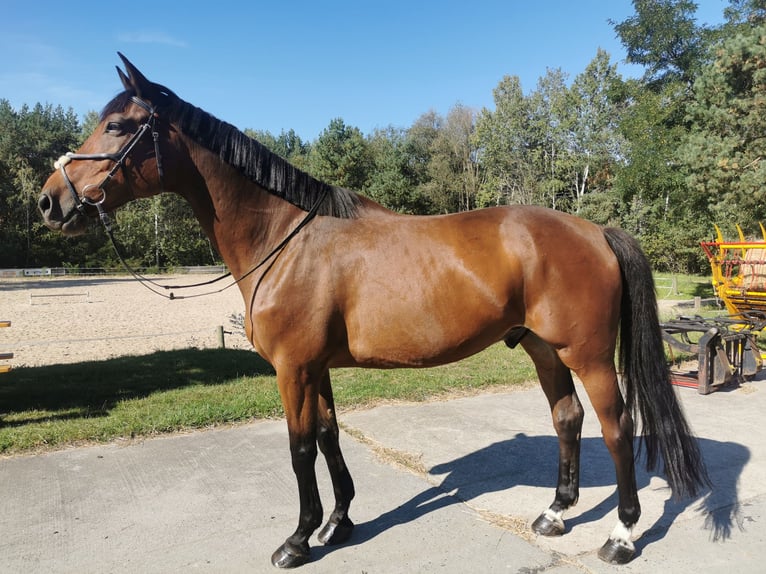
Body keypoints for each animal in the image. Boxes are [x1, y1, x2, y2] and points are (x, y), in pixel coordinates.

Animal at [37, 55, 708, 572]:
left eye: (117, 124)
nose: (49, 201)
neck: (286, 240)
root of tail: (594, 230)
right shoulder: (316, 368)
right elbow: (329, 437)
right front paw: (339, 524)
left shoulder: (293, 370)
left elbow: (299, 449)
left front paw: (298, 539)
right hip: (542, 347)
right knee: (567, 418)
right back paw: (554, 514)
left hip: (587, 354)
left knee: (617, 429)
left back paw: (621, 536)